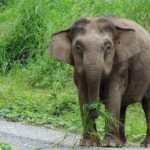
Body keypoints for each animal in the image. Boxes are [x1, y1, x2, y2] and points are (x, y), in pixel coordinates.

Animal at [49, 15, 150, 148]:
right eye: (78, 48)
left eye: (108, 47)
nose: (96, 113)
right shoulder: (78, 71)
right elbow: (83, 96)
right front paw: (88, 143)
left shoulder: (120, 65)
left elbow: (113, 95)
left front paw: (109, 144)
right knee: (122, 106)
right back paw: (122, 143)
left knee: (147, 102)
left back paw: (144, 144)